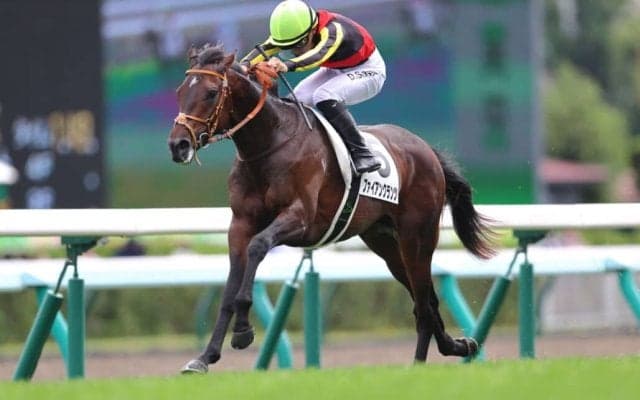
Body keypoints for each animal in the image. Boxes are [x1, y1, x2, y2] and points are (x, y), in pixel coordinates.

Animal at [167, 43, 495, 373]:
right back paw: (458, 345)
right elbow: (229, 288)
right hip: (386, 243)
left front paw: (243, 332)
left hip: (418, 236)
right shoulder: (240, 225)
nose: (178, 145)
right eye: (181, 91)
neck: (270, 143)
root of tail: (427, 150)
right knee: (424, 299)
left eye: (210, 93)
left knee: (424, 302)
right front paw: (205, 357)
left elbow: (258, 247)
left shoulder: (301, 219)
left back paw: (417, 364)